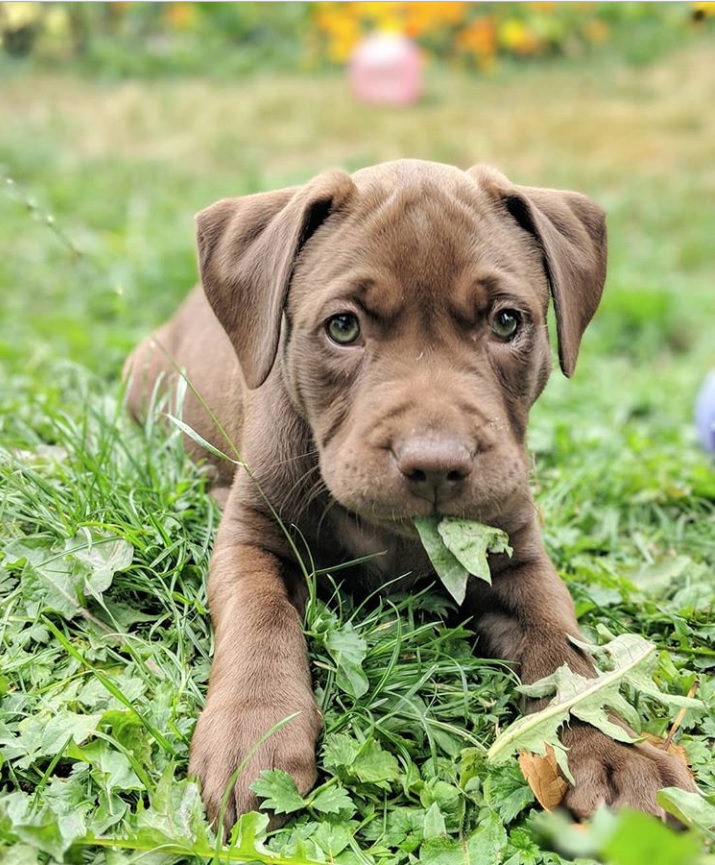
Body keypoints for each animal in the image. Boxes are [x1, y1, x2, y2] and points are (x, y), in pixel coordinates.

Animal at [126, 160, 696, 832]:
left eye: (507, 321)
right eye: (343, 326)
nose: (436, 463)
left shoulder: (515, 556)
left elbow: (564, 653)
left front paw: (612, 746)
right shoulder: (251, 539)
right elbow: (260, 618)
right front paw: (255, 732)